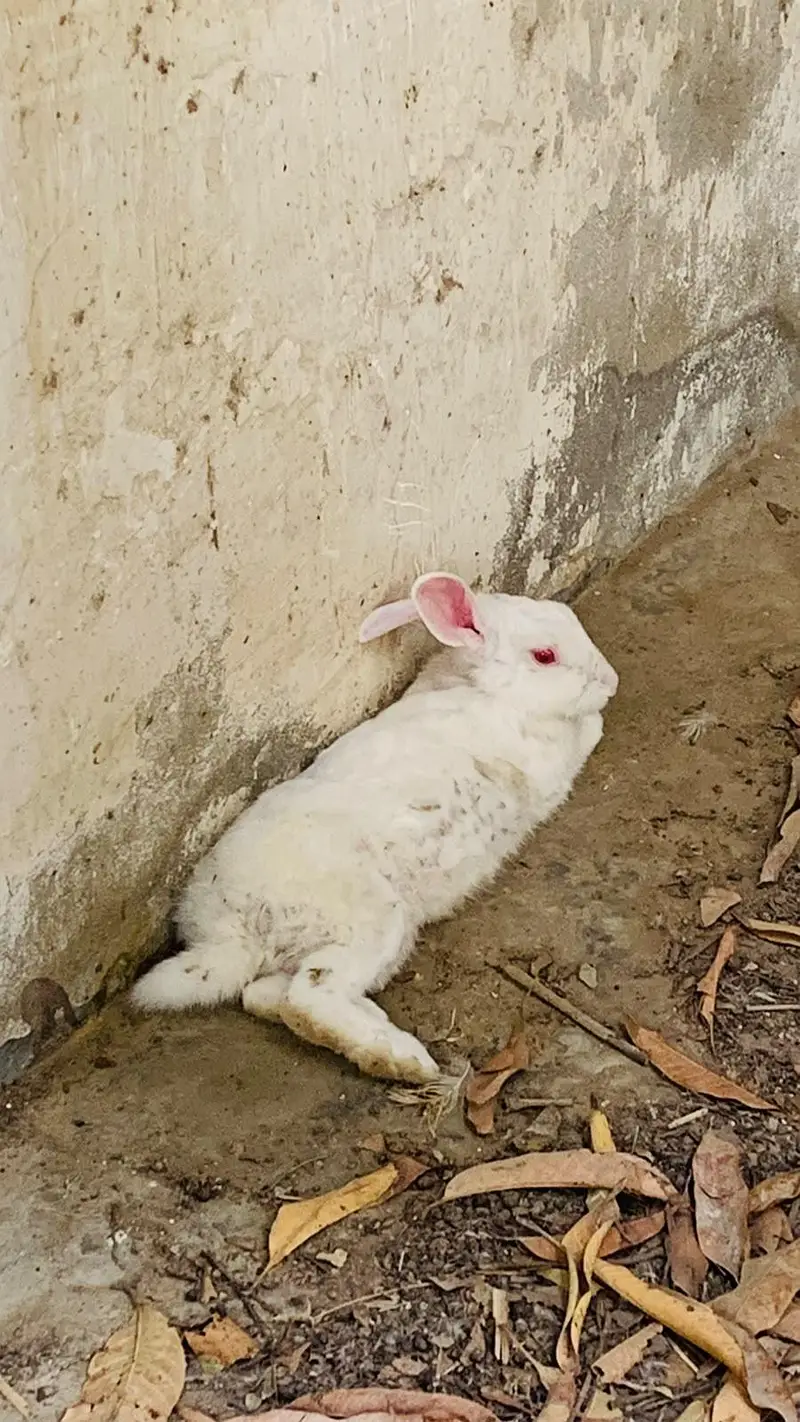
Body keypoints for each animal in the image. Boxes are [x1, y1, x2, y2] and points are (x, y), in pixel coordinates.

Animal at [131, 571, 618, 1083]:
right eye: (545, 656)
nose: (611, 680)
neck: (483, 690)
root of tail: (232, 931)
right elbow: (585, 733)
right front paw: (596, 719)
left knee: (267, 996)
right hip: (373, 918)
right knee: (309, 997)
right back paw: (402, 1060)